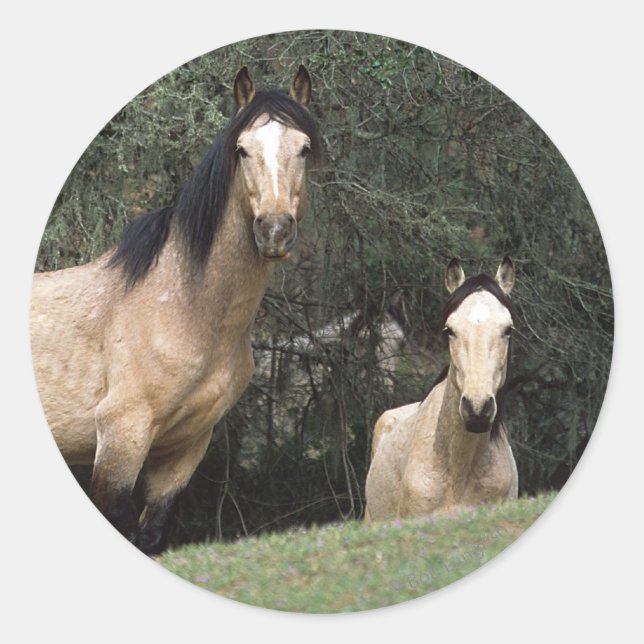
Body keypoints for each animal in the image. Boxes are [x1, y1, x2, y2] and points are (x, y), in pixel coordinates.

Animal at [30, 65, 321, 554]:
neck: (185, 306)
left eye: (303, 148)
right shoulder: (122, 436)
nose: (275, 231)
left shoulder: (183, 449)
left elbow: (150, 535)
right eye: (242, 149)